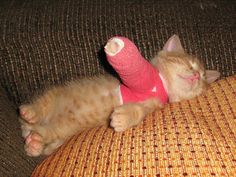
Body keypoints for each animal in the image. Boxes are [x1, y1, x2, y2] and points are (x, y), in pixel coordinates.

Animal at [19, 34, 219, 156]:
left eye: (203, 77)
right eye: (190, 65)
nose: (196, 75)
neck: (162, 84)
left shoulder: (151, 105)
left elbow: (139, 110)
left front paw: (124, 117)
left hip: (63, 131)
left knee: (47, 134)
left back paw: (35, 143)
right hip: (57, 93)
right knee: (43, 103)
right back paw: (31, 112)